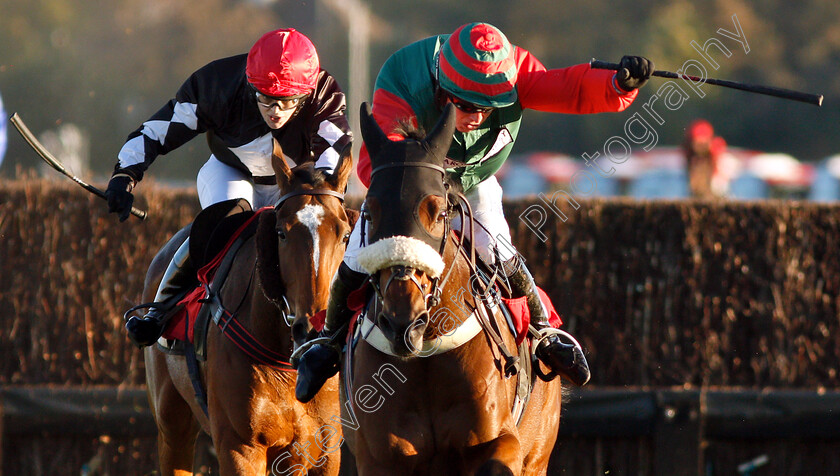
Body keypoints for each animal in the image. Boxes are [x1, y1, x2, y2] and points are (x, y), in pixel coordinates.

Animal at [140, 142, 354, 476]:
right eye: (281, 232)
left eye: (344, 234)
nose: (313, 329)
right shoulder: (239, 445)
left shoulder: (323, 450)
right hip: (172, 426)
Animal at [342, 105, 564, 476]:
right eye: (369, 212)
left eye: (438, 211)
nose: (403, 321)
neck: (428, 353)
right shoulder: (379, 458)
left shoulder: (501, 440)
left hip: (539, 452)